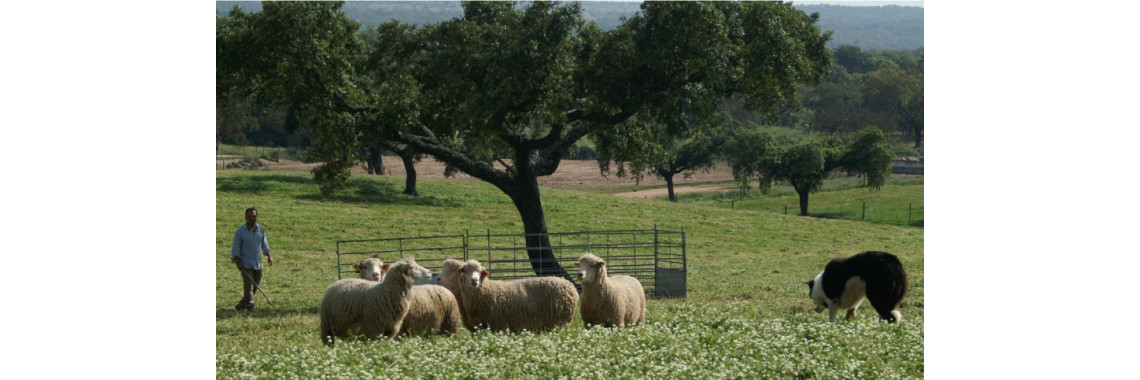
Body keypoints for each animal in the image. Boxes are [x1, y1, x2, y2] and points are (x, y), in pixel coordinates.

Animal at [440, 257, 574, 330]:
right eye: (465, 271)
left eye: (480, 272)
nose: (474, 281)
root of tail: (569, 285)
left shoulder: (495, 325)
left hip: (560, 322)